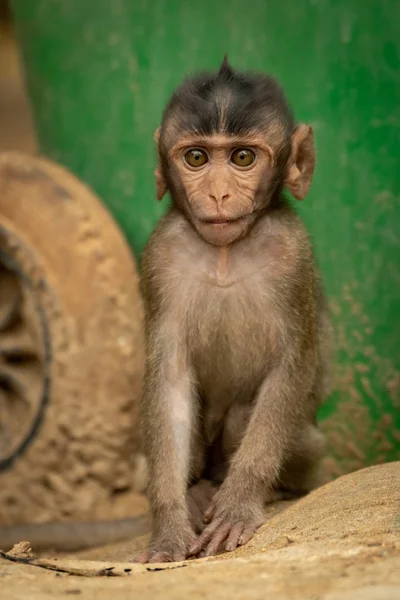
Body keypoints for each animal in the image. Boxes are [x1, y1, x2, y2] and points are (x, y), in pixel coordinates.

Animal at [136, 56, 330, 564]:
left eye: (242, 158)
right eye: (196, 158)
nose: (220, 194)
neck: (225, 253)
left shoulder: (293, 255)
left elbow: (293, 365)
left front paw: (239, 505)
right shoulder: (160, 256)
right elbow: (171, 380)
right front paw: (169, 525)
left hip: (311, 444)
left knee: (247, 413)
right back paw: (198, 492)